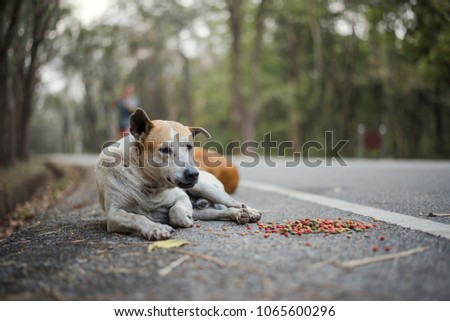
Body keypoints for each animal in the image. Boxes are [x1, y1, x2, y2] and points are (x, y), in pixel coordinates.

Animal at [95, 109, 260, 239]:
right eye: (165, 149)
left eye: (189, 146)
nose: (193, 174)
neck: (148, 183)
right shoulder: (114, 215)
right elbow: (135, 217)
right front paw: (154, 227)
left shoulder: (181, 196)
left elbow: (176, 211)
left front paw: (181, 219)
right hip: (203, 210)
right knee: (222, 211)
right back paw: (237, 214)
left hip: (206, 189)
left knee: (234, 202)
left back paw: (249, 211)